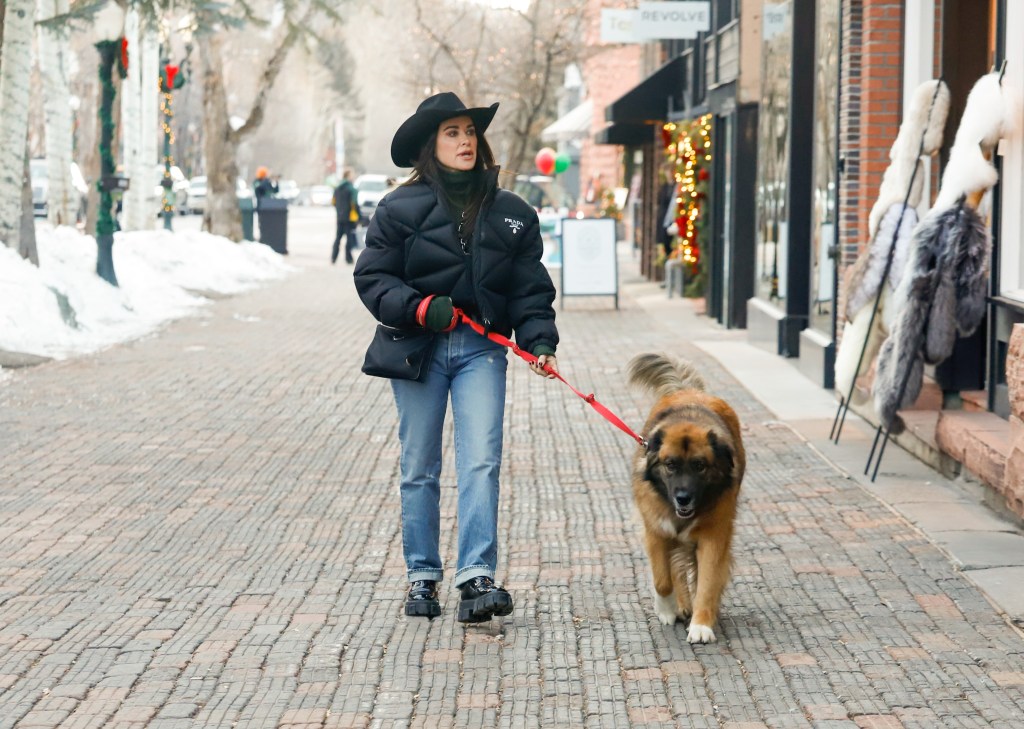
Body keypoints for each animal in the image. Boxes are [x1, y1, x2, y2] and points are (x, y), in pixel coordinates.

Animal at [622, 352, 745, 642]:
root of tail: (687, 390)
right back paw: (679, 605)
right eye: (670, 464)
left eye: (700, 465)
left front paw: (701, 624)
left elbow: (708, 582)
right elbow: (661, 579)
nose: (683, 498)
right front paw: (666, 608)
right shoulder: (656, 531)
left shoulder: (714, 535)